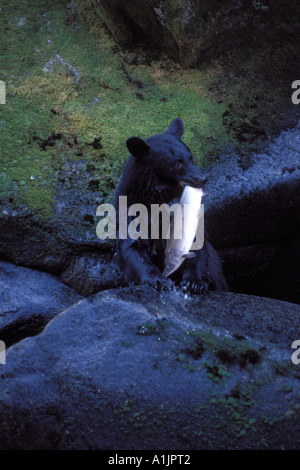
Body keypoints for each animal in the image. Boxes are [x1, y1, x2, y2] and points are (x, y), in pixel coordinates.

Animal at [115, 118, 227, 294]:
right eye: (177, 164)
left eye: (191, 158)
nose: (202, 178)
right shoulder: (131, 211)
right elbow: (132, 248)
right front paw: (158, 280)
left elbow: (198, 246)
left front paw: (194, 282)